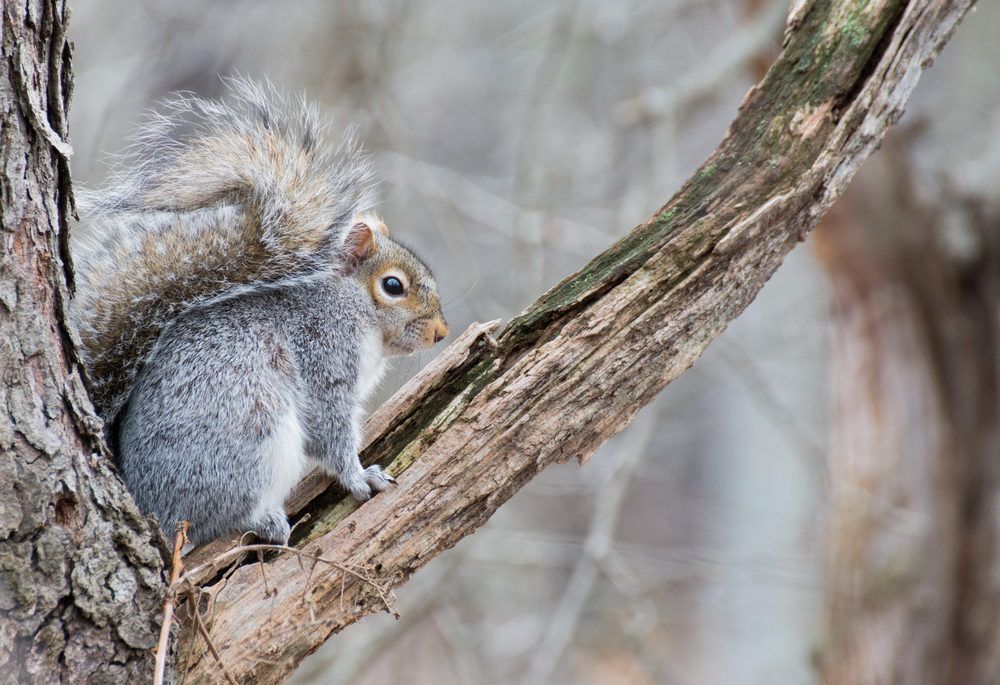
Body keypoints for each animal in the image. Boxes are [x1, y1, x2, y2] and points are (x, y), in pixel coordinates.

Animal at [70, 79, 448, 545]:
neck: (348, 308)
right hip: (251, 440)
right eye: (393, 286)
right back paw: (263, 520)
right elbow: (330, 434)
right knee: (215, 520)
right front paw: (361, 477)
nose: (441, 332)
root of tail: (147, 503)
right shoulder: (321, 355)